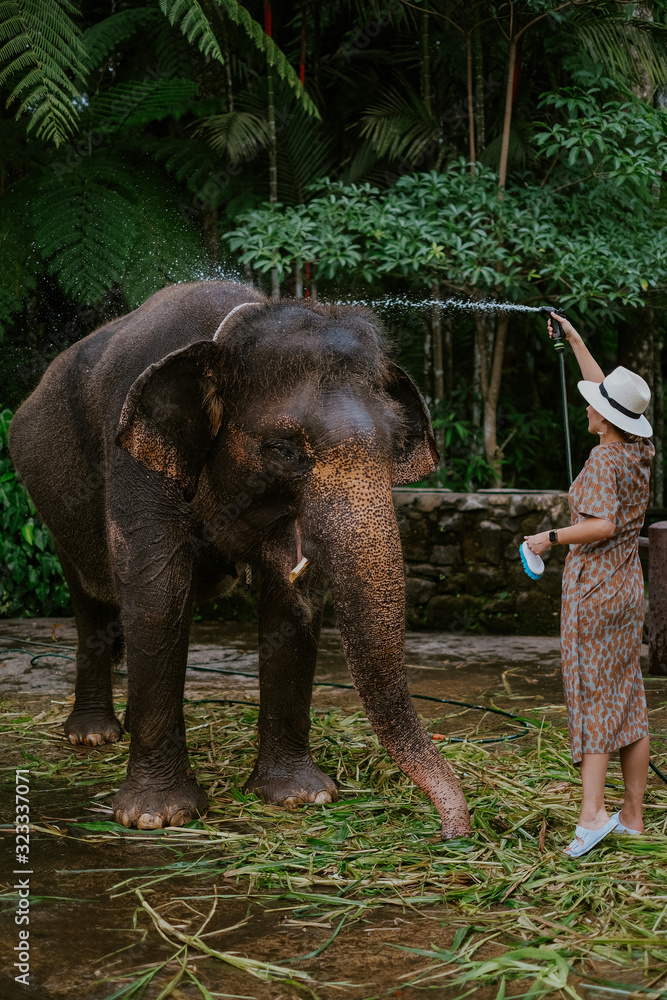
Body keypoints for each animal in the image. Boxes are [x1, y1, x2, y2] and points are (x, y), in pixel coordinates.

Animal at [9, 280, 471, 840]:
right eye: (285, 449)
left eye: (390, 447)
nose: (452, 832)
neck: (230, 330)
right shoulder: (134, 461)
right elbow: (157, 592)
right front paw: (156, 817)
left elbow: (291, 603)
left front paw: (301, 797)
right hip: (54, 508)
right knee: (91, 596)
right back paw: (94, 736)